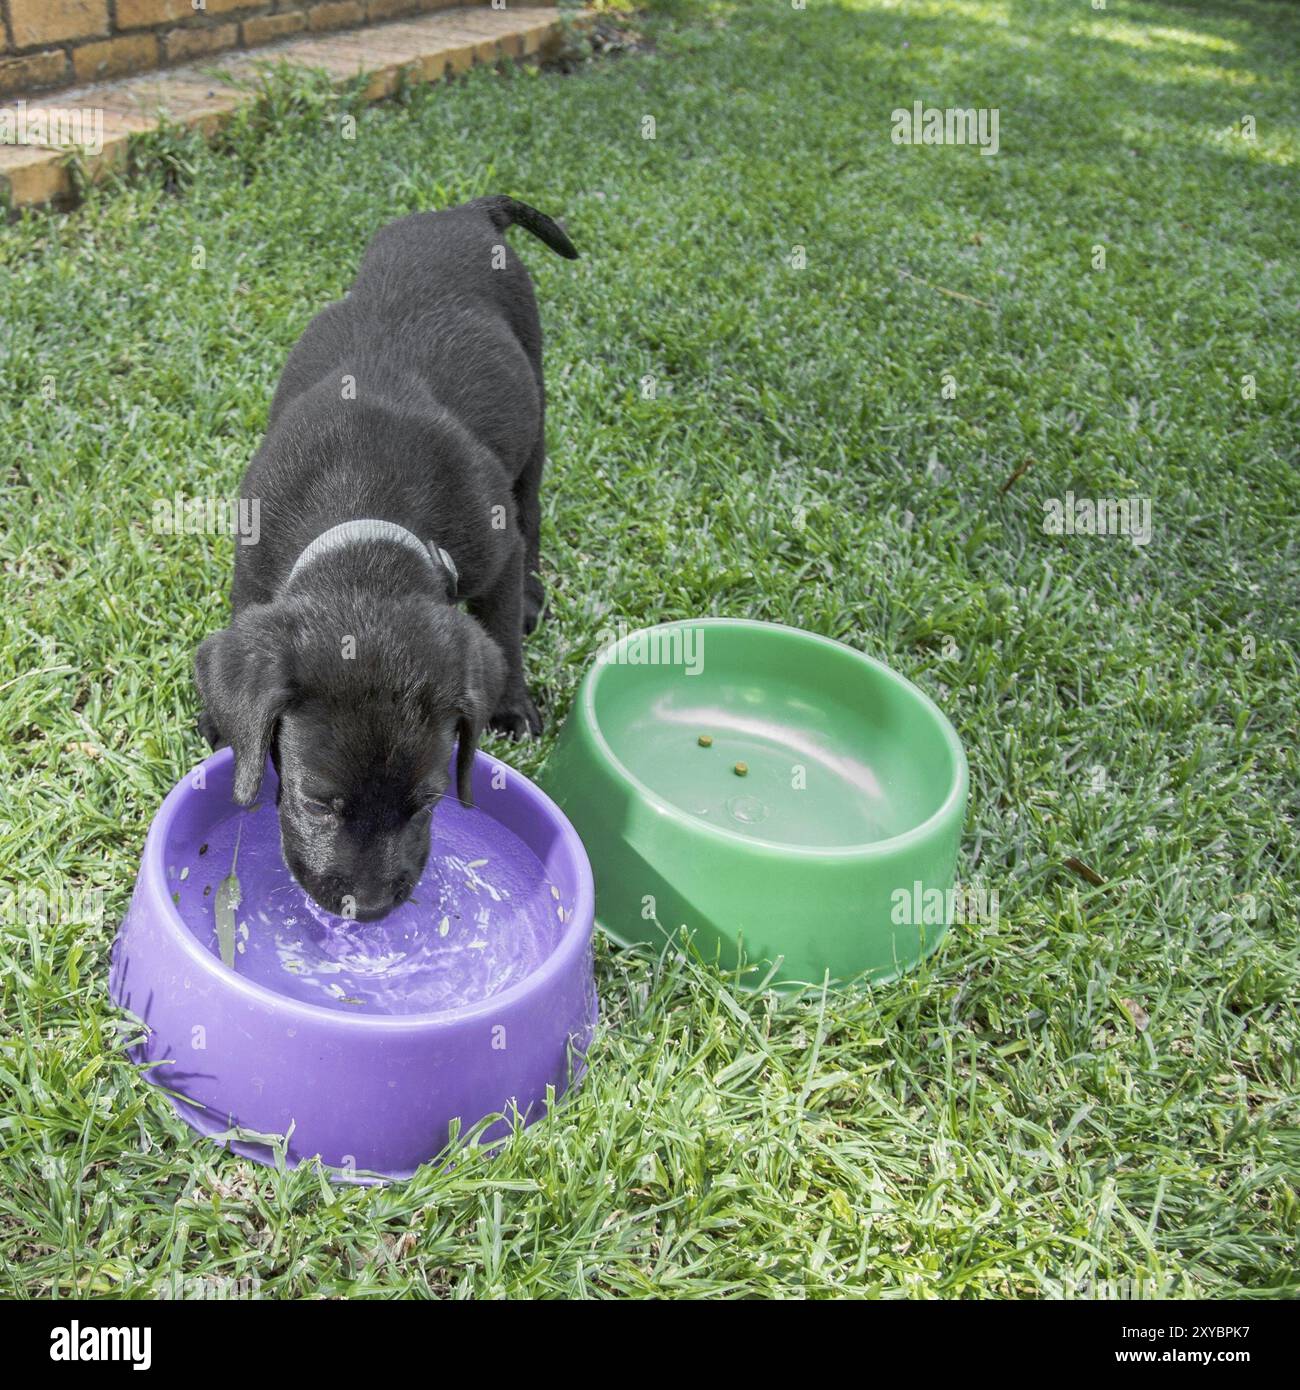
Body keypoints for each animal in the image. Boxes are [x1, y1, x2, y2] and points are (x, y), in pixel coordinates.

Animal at [196, 190, 575, 917]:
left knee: (535, 510)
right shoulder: (252, 573)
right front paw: (220, 723)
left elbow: (502, 630)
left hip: (535, 410)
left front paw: (512, 706)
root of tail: (464, 211)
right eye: (318, 803)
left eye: (427, 803)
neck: (364, 503)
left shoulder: (496, 548)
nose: (367, 909)